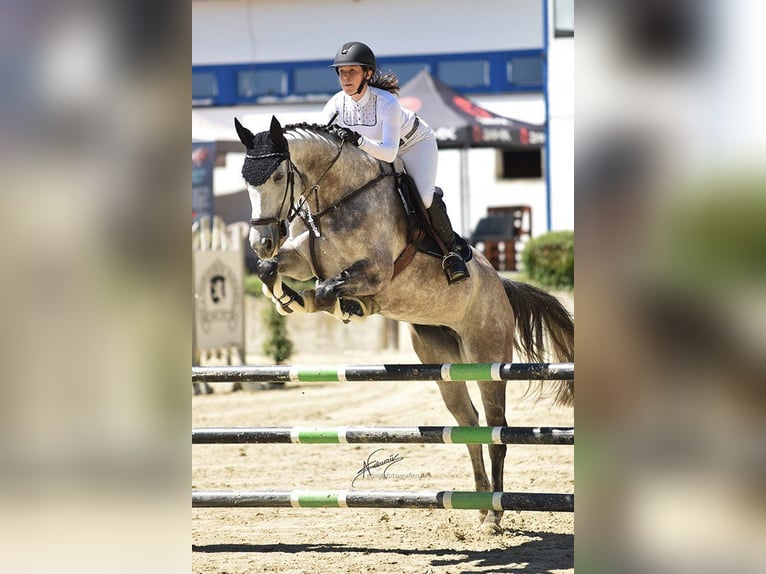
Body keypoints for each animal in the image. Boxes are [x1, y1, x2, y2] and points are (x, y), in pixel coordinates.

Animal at [235, 116, 574, 531]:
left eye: (280, 175)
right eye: (245, 180)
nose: (261, 242)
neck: (335, 199)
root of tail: (500, 284)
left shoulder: (376, 271)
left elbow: (329, 288)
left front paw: (338, 304)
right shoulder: (301, 258)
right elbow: (273, 271)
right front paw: (287, 298)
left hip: (488, 360)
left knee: (497, 429)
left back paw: (493, 516)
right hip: (444, 367)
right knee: (470, 426)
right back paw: (480, 507)